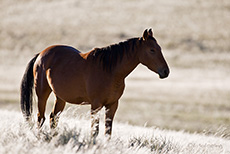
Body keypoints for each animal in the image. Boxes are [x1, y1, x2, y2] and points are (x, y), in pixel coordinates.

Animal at [20, 28, 169, 137]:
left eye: (160, 49)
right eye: (152, 50)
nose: (165, 71)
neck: (110, 71)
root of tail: (40, 54)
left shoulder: (112, 105)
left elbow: (108, 131)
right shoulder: (96, 105)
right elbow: (95, 131)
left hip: (60, 97)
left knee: (53, 118)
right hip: (42, 94)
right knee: (41, 117)